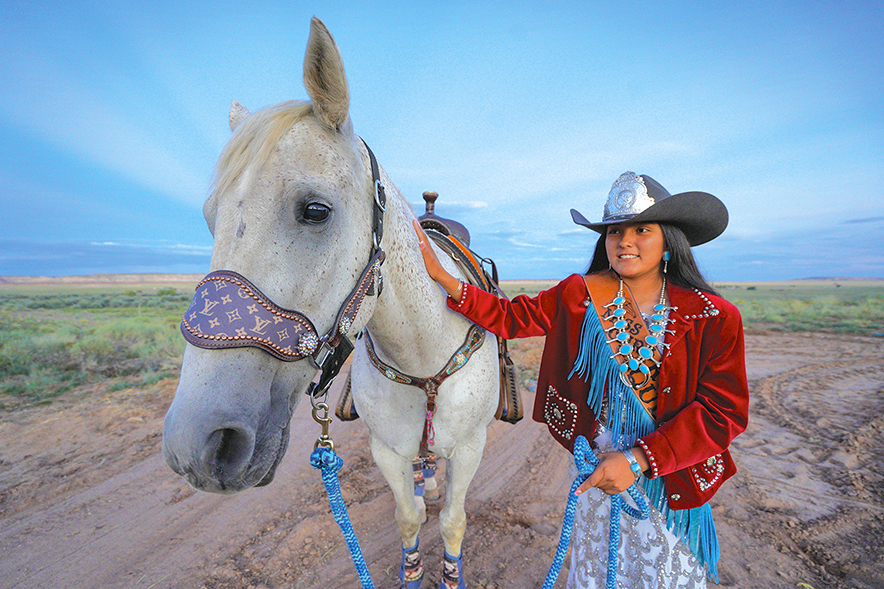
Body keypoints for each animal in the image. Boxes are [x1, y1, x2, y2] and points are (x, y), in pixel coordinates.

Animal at [162, 17, 500, 588]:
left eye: (315, 210)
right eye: (210, 218)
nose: (195, 445)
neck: (424, 353)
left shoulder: (472, 446)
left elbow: (453, 521)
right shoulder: (387, 449)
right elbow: (408, 516)